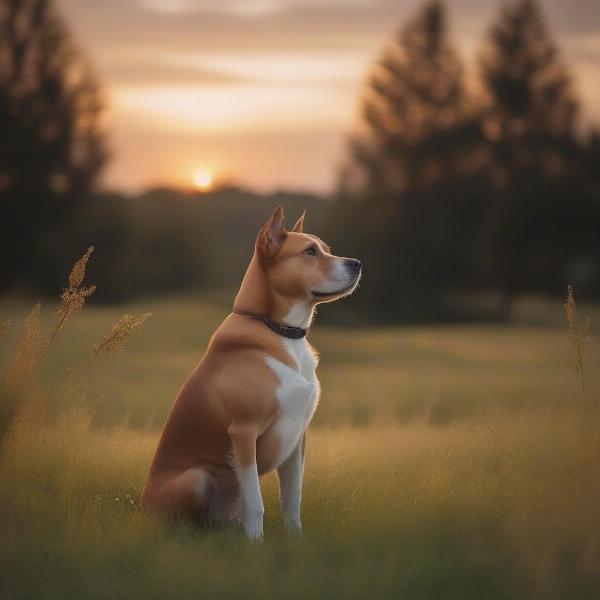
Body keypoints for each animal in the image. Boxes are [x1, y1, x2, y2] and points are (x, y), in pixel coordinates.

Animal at [142, 205, 360, 540]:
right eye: (309, 252)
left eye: (326, 249)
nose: (357, 264)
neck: (279, 331)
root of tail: (140, 510)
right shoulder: (243, 432)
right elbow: (256, 504)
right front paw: (255, 545)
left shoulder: (298, 438)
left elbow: (293, 499)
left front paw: (296, 540)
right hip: (194, 477)